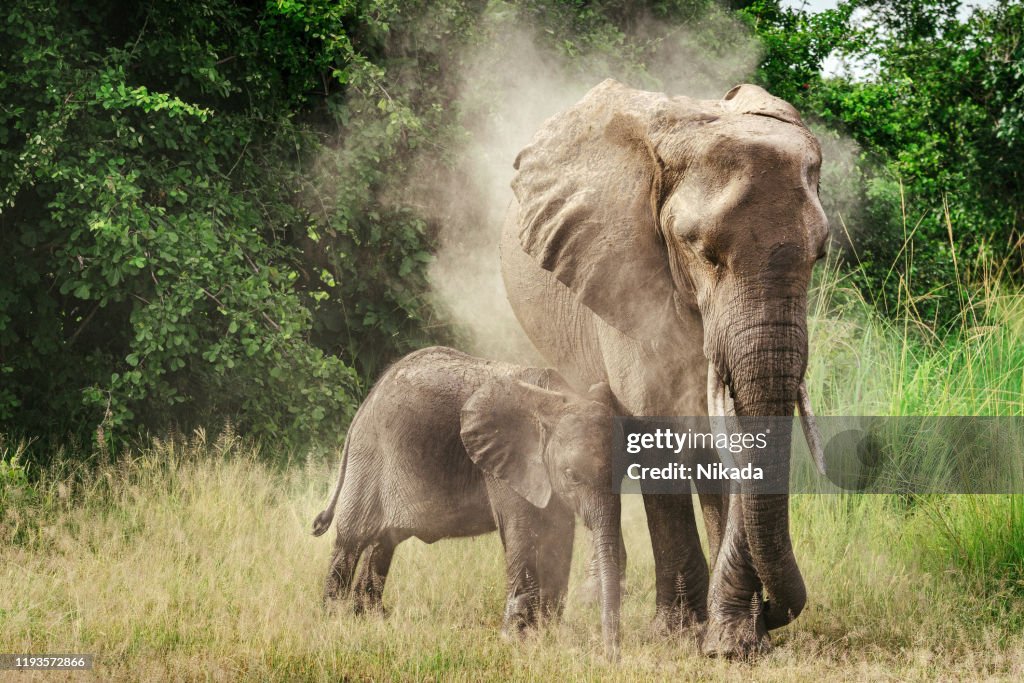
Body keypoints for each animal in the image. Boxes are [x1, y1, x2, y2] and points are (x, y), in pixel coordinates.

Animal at [310, 346, 622, 658]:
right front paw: (515, 639)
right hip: (371, 456)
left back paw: (372, 618)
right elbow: (522, 533)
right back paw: (335, 618)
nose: (610, 657)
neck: (554, 399)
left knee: (382, 544)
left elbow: (559, 537)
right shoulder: (503, 464)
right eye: (572, 475)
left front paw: (548, 633)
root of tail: (368, 400)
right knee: (351, 539)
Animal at [499, 79, 828, 658]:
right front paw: (684, 633)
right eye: (704, 253)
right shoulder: (625, 277)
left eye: (820, 256)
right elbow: (655, 424)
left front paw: (733, 642)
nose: (772, 611)